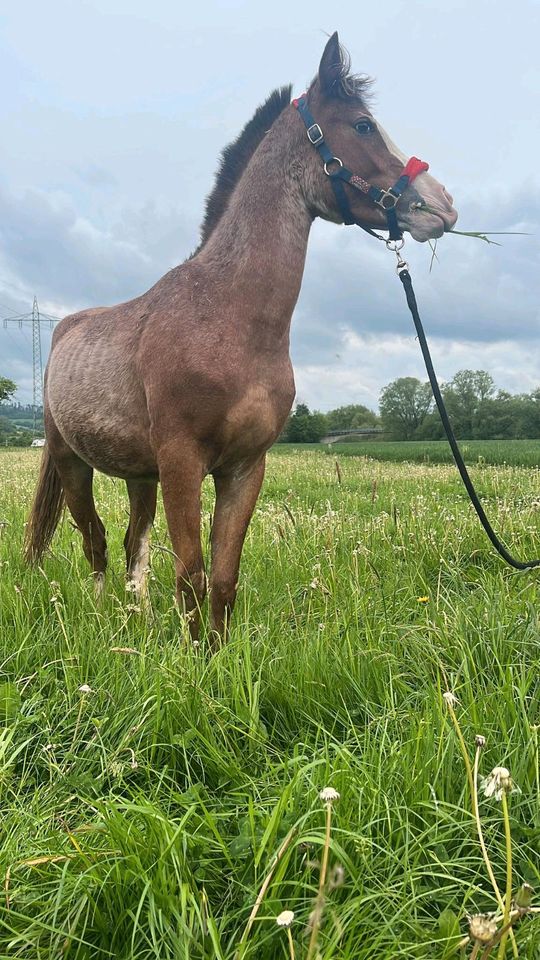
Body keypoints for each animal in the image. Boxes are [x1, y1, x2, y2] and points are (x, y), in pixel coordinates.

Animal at [24, 31, 456, 644]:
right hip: (71, 462)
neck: (227, 318)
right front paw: (191, 660)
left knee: (133, 544)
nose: (442, 203)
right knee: (96, 542)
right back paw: (107, 617)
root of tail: (63, 330)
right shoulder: (182, 463)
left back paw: (137, 617)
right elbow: (191, 576)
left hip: (140, 475)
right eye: (364, 124)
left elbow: (223, 579)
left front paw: (219, 656)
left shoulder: (245, 468)